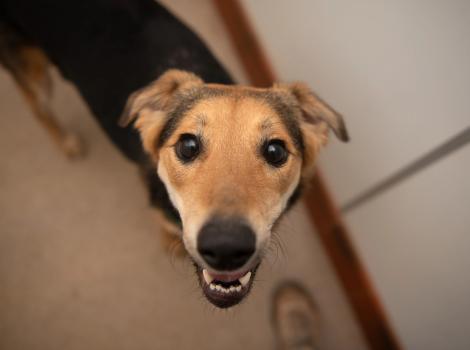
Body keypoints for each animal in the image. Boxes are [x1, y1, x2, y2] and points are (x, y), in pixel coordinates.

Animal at [0, 0, 346, 308]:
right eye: (187, 146)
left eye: (275, 151)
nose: (226, 248)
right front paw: (172, 243)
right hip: (32, 70)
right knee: (39, 110)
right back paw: (68, 143)